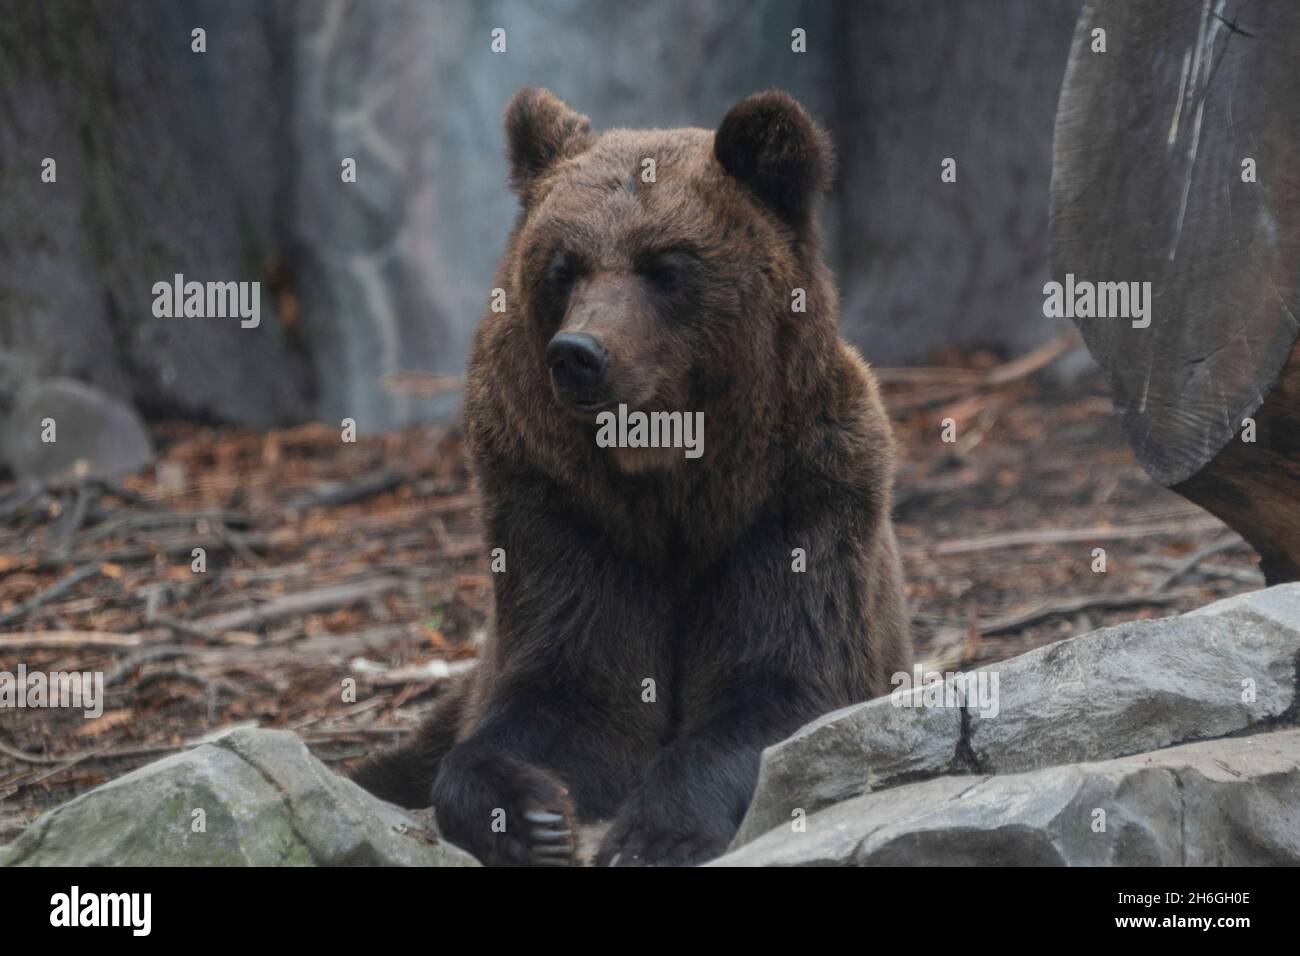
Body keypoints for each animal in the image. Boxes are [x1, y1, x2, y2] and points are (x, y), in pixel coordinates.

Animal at [351, 87, 909, 868]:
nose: (579, 354)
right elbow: (571, 693)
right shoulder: (561, 510)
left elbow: (785, 687)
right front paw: (530, 815)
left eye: (665, 265)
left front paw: (650, 834)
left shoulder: (798, 503)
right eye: (563, 266)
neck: (667, 480)